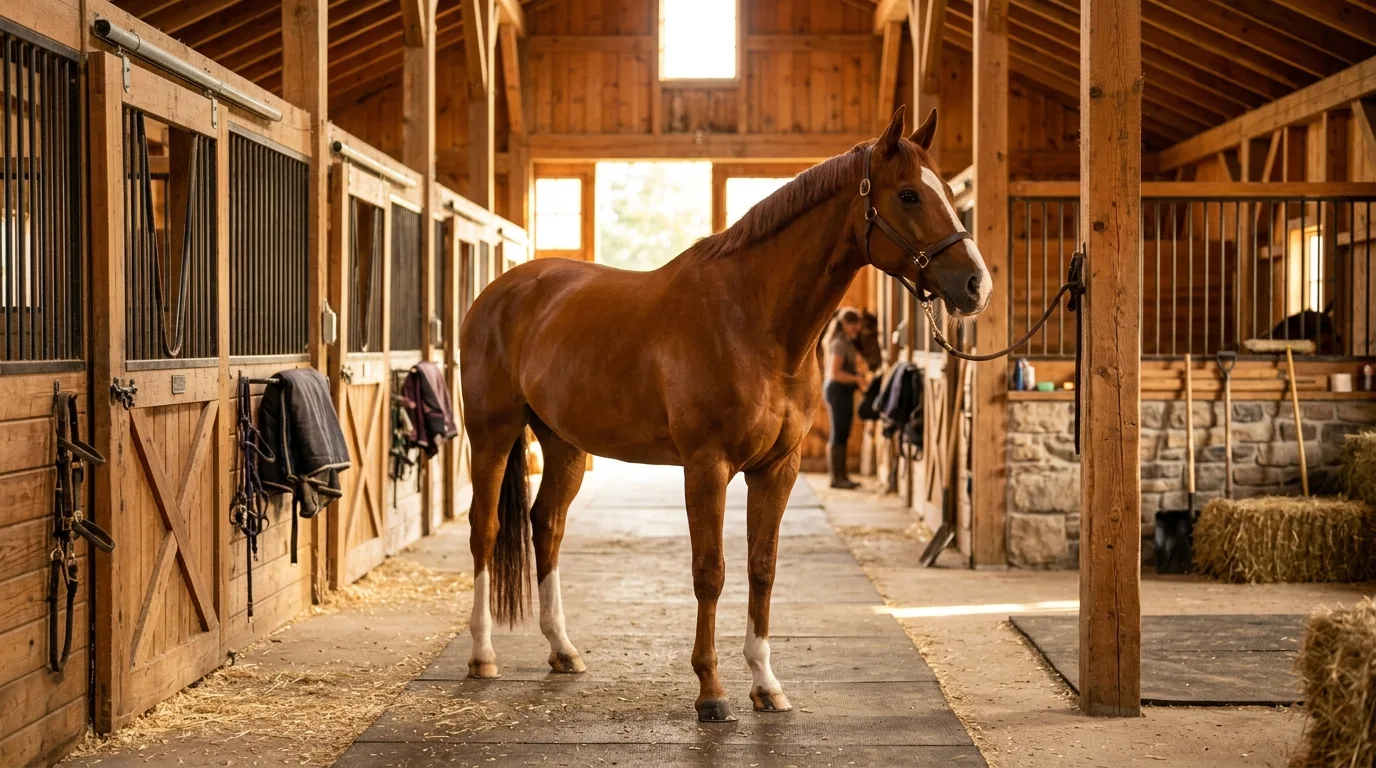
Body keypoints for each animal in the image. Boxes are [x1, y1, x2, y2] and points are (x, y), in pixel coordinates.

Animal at [458, 106, 991, 722]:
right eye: (908, 194)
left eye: (947, 190)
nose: (976, 285)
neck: (753, 320)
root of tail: (499, 292)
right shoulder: (706, 465)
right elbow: (710, 571)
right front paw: (711, 692)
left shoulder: (777, 469)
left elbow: (762, 566)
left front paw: (766, 684)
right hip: (492, 434)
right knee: (485, 528)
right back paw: (482, 655)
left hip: (564, 444)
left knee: (547, 526)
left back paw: (563, 650)